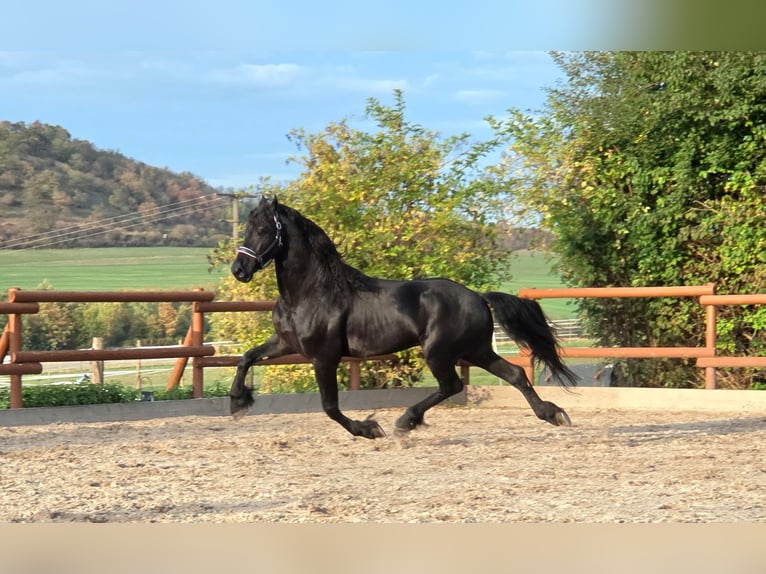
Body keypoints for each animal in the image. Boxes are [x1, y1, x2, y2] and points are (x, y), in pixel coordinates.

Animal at [229, 196, 577, 439]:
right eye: (247, 228)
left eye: (263, 230)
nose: (239, 270)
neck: (311, 292)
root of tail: (477, 296)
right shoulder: (285, 343)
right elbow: (246, 357)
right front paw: (237, 402)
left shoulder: (324, 357)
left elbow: (329, 407)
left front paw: (370, 430)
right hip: (475, 350)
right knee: (515, 374)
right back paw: (553, 414)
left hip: (440, 351)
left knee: (452, 385)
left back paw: (405, 421)